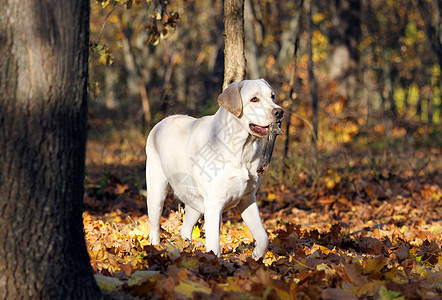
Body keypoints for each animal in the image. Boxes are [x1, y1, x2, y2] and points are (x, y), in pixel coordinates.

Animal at [145, 79, 284, 258]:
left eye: (272, 96)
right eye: (254, 99)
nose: (279, 112)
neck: (241, 149)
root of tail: (161, 122)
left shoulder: (247, 198)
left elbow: (263, 237)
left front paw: (256, 257)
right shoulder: (214, 203)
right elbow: (213, 245)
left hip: (195, 202)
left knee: (185, 228)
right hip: (157, 192)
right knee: (155, 228)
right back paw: (155, 248)